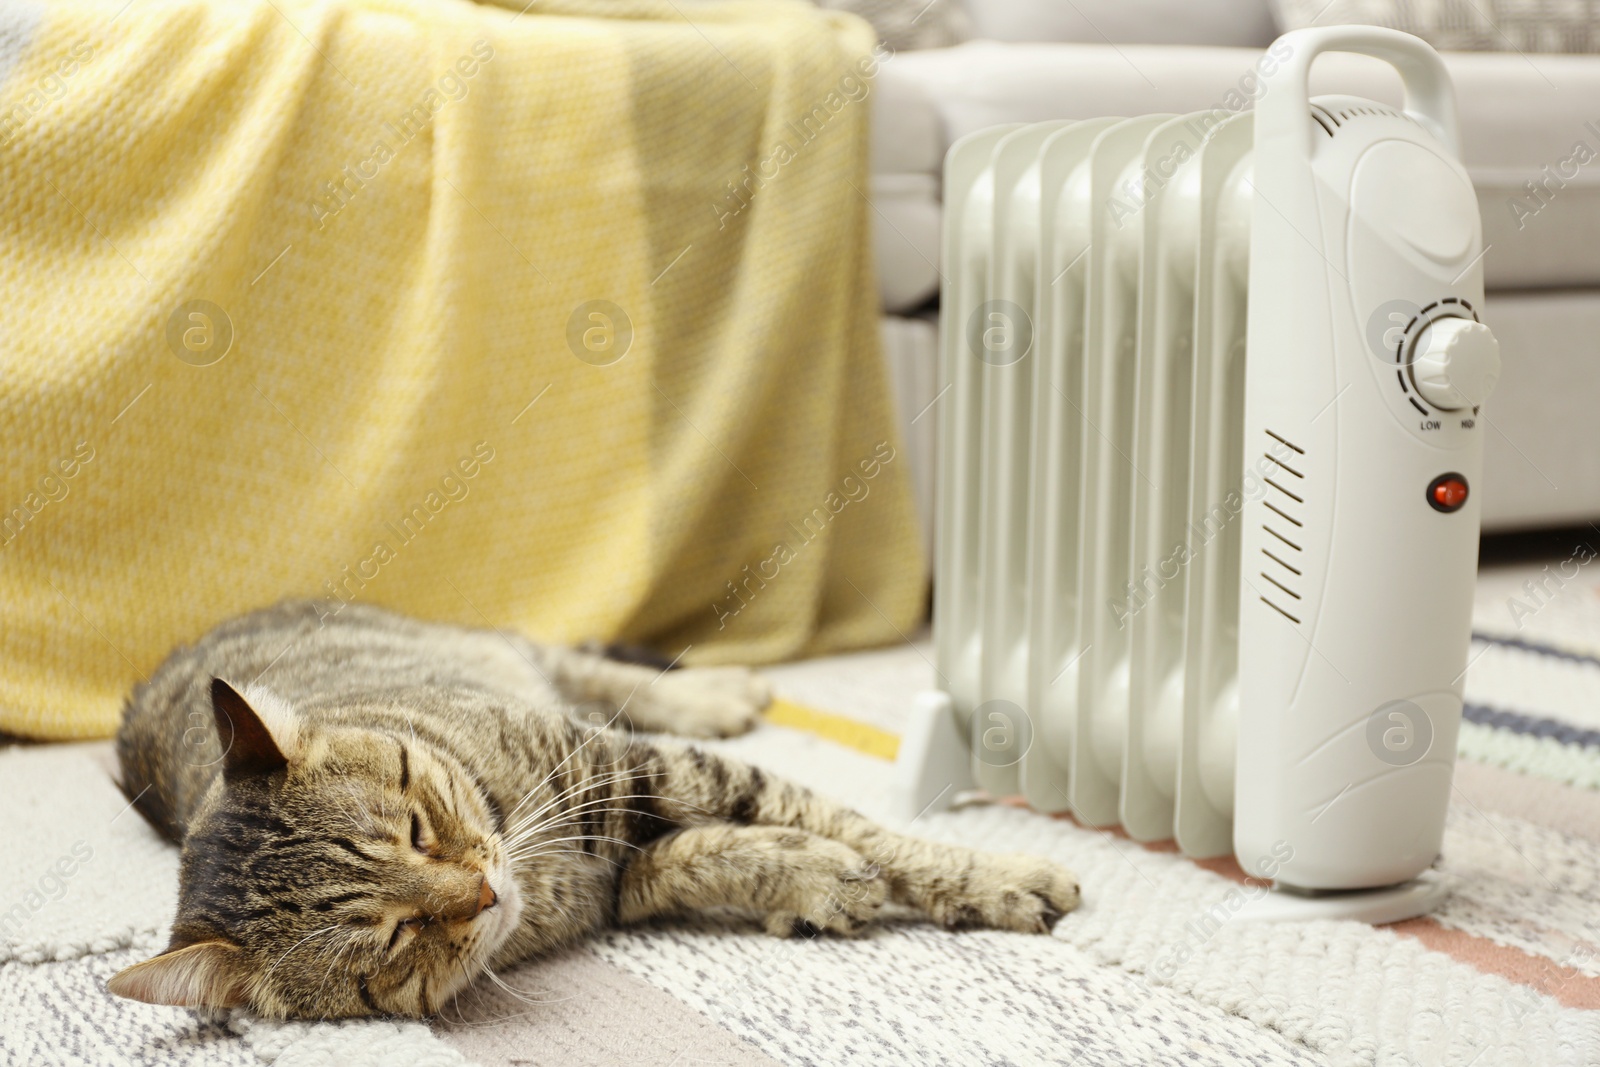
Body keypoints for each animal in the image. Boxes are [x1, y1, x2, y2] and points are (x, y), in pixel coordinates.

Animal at [112, 601, 1081, 1017]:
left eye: (416, 830)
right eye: (394, 934)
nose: (485, 892)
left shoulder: (633, 765)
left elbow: (856, 822)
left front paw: (994, 875)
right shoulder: (620, 879)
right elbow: (711, 855)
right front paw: (810, 881)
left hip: (513, 655)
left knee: (592, 667)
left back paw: (719, 690)